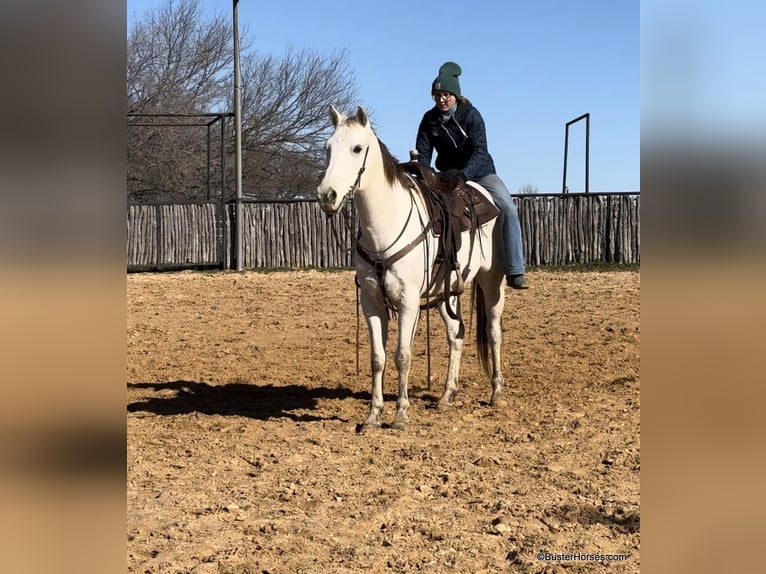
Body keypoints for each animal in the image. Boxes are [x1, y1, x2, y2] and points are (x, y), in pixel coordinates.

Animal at [316, 107, 508, 432]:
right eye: (328, 148)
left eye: (357, 148)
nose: (327, 195)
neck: (385, 225)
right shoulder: (371, 301)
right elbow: (378, 357)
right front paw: (373, 416)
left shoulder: (408, 302)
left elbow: (402, 356)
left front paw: (400, 415)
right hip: (447, 292)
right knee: (456, 334)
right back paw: (446, 396)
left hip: (492, 281)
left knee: (493, 331)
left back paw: (496, 393)